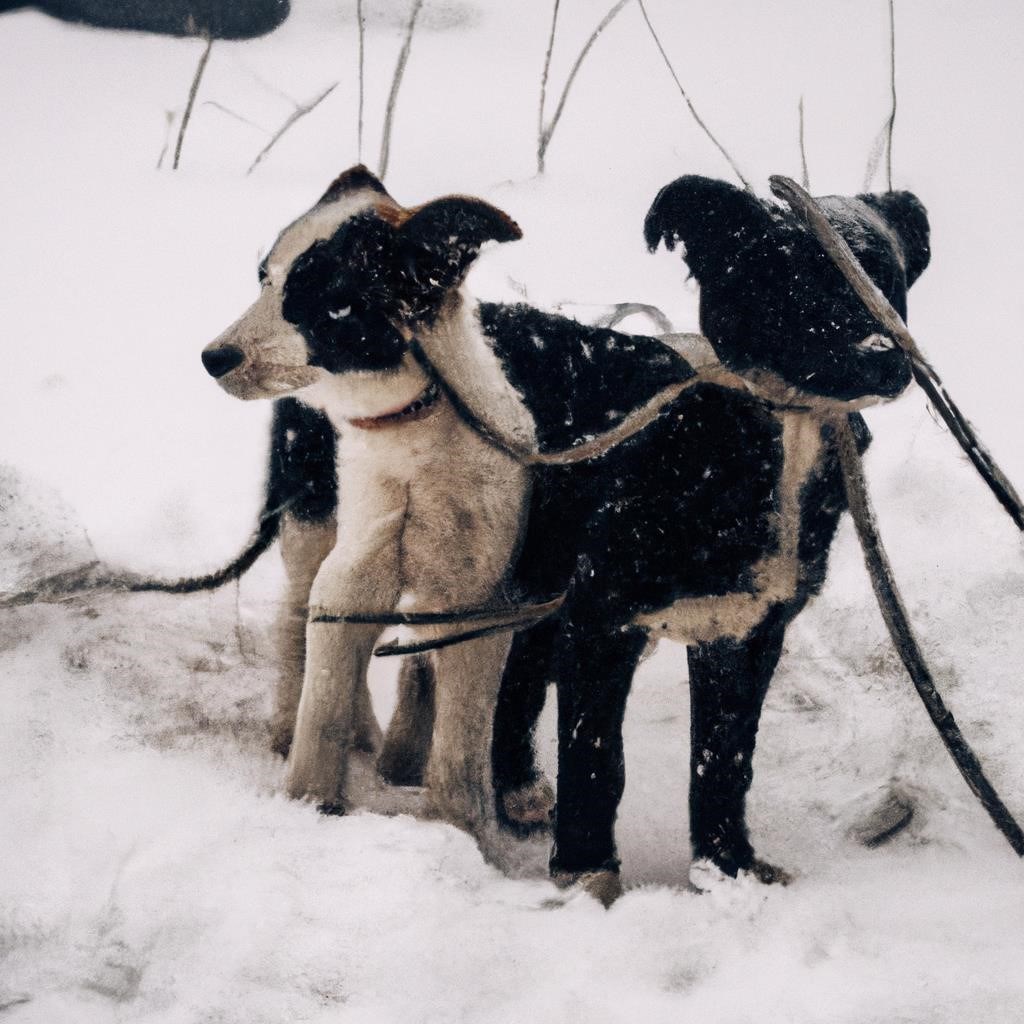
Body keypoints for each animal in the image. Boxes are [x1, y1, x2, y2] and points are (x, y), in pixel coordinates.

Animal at [199, 163, 929, 901]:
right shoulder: (598, 619)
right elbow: (596, 757)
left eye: (883, 275)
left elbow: (723, 763)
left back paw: (481, 778)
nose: (884, 356)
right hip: (326, 526)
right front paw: (588, 876)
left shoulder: (745, 632)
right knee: (306, 625)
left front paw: (726, 872)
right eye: (791, 277)